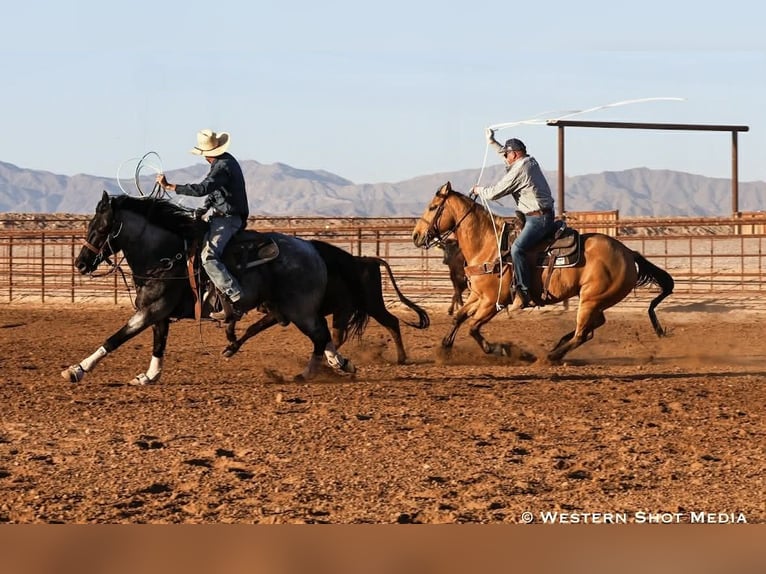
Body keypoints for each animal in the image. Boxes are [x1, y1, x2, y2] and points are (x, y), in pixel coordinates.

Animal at [61, 191, 355, 384]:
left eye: (101, 228)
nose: (80, 263)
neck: (165, 256)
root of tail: (310, 247)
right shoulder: (158, 314)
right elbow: (158, 344)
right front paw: (149, 376)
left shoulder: (151, 310)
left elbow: (115, 338)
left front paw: (77, 370)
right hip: (287, 308)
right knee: (318, 333)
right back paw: (339, 363)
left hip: (300, 310)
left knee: (320, 334)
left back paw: (310, 372)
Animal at [221, 240, 431, 364]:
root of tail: (368, 261)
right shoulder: (277, 312)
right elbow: (249, 325)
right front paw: (230, 345)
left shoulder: (282, 313)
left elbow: (253, 327)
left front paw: (231, 346)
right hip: (355, 308)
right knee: (343, 334)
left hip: (370, 305)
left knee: (390, 322)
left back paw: (401, 358)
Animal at [411, 182, 674, 363]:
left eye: (433, 207)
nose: (415, 236)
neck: (488, 244)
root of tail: (628, 253)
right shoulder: (477, 296)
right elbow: (459, 317)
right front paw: (444, 348)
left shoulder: (492, 302)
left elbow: (473, 327)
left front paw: (504, 350)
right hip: (595, 301)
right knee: (592, 327)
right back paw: (557, 345)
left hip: (591, 299)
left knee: (583, 333)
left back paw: (551, 356)